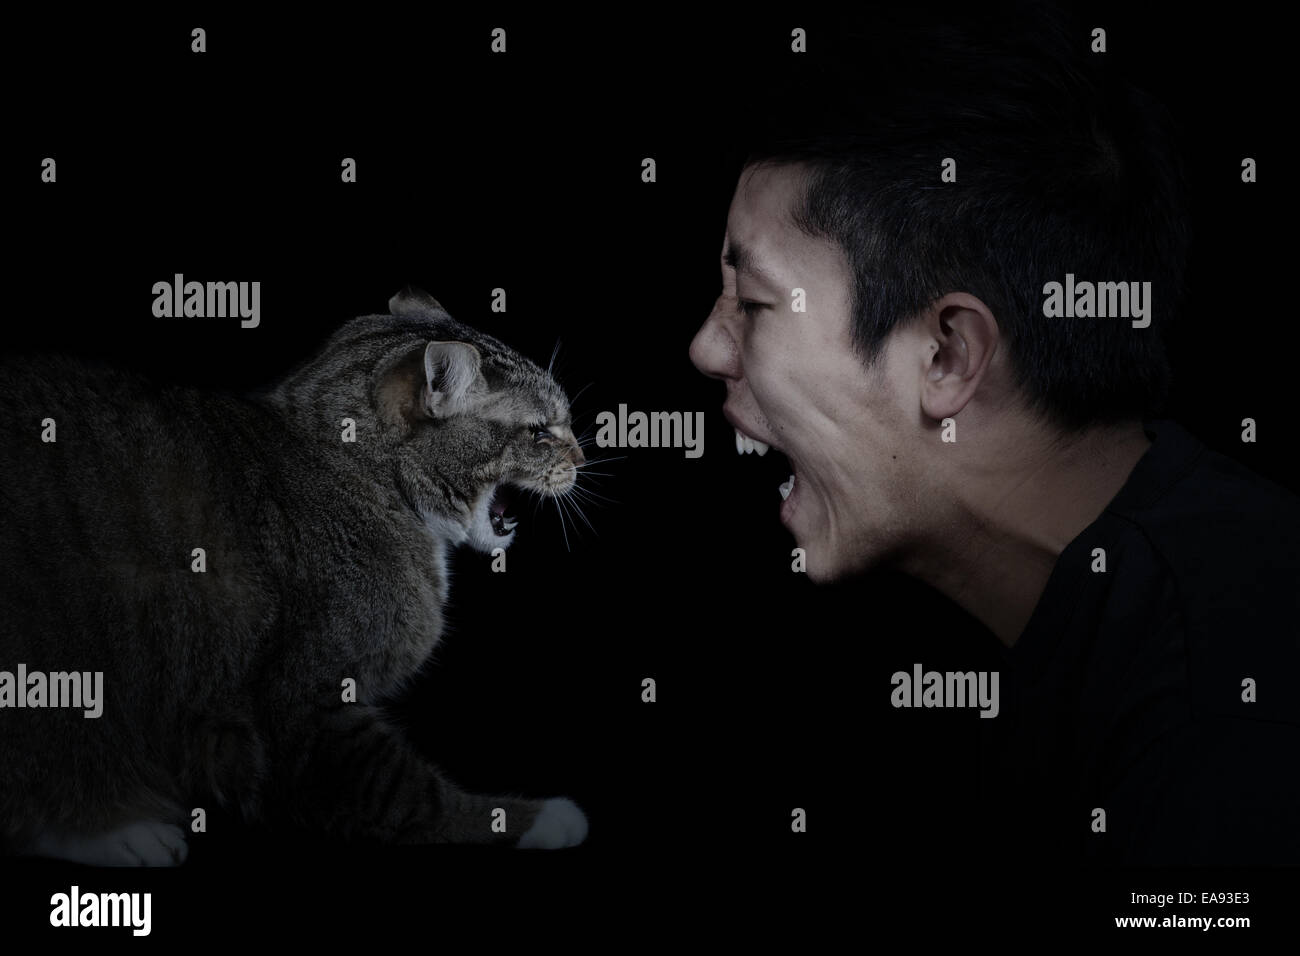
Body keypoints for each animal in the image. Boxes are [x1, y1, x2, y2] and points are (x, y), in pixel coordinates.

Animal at [0, 287, 590, 863]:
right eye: (540, 432)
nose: (582, 458)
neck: (356, 471)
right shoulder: (306, 708)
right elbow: (415, 799)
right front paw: (535, 819)